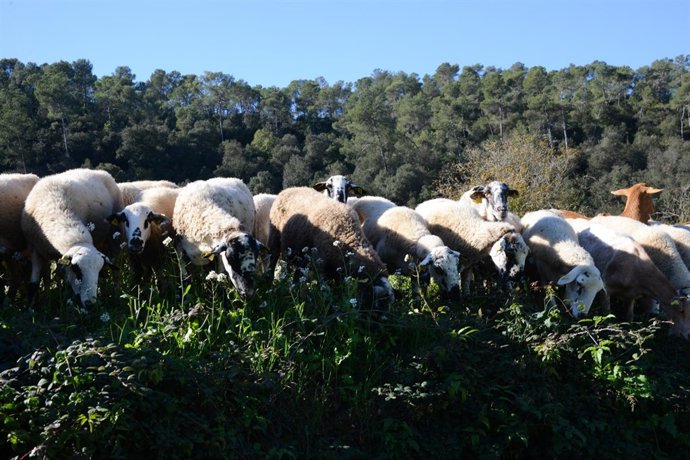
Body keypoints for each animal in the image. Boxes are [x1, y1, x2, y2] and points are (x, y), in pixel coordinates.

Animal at [21, 169, 122, 308]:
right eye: (77, 270)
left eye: (98, 270)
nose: (90, 304)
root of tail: (99, 171)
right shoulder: (35, 249)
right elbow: (34, 284)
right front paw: (30, 308)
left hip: (112, 238)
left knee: (115, 272)